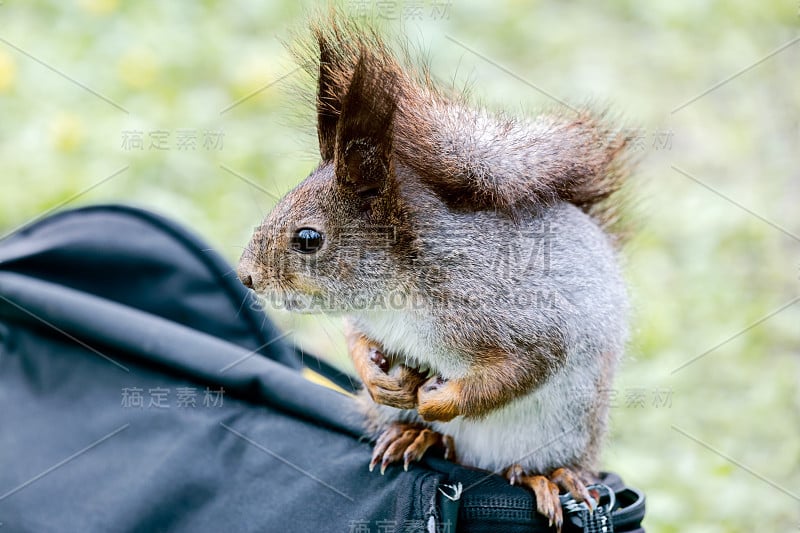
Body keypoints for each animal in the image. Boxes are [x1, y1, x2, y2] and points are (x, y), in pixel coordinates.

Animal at [236, 14, 632, 528]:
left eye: (308, 239)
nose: (246, 275)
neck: (396, 291)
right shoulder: (369, 320)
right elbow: (356, 339)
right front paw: (377, 378)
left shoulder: (508, 312)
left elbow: (526, 366)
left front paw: (438, 400)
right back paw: (418, 435)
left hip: (565, 428)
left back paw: (545, 476)